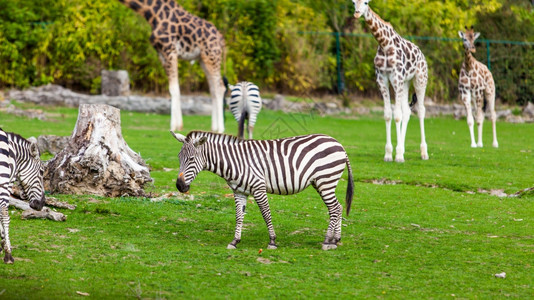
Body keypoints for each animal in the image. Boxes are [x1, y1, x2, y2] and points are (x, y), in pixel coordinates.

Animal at [118, 0, 227, 132]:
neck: (151, 12)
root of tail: (221, 39)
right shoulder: (161, 53)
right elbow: (174, 87)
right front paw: (178, 125)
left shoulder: (170, 50)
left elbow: (173, 88)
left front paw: (174, 126)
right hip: (203, 59)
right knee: (213, 88)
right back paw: (214, 128)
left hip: (212, 56)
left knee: (219, 87)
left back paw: (220, 129)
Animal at [172, 130, 356, 250]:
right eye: (179, 158)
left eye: (191, 159)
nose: (180, 186)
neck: (235, 162)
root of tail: (338, 144)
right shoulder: (240, 192)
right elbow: (239, 217)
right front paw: (235, 241)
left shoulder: (259, 188)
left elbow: (266, 214)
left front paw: (272, 241)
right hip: (321, 183)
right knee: (338, 207)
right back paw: (335, 240)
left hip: (326, 180)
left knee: (334, 208)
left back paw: (326, 241)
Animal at [352, 0, 432, 163]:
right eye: (353, 2)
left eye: (366, 2)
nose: (357, 13)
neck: (384, 44)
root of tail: (422, 55)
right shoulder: (382, 78)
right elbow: (389, 114)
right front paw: (389, 154)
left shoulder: (396, 77)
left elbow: (397, 115)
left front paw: (399, 155)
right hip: (405, 83)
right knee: (407, 111)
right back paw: (403, 149)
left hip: (420, 79)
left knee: (421, 110)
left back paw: (424, 153)